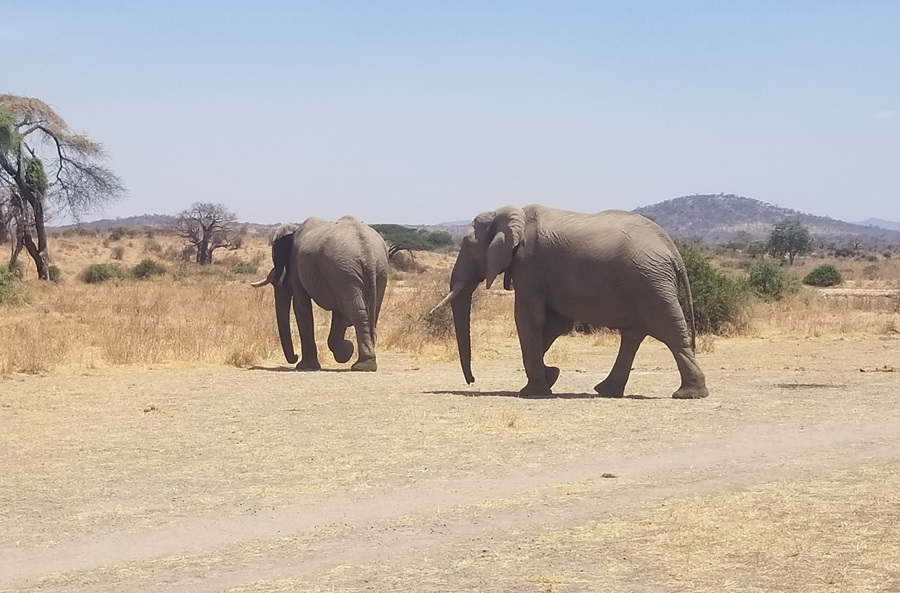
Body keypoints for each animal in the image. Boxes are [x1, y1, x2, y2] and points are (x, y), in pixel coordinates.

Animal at [251, 215, 388, 372]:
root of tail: (368, 253)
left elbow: (301, 306)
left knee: (358, 313)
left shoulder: (297, 264)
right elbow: (338, 314)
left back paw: (362, 366)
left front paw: (305, 366)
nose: (295, 356)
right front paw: (346, 351)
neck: (293, 230)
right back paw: (366, 362)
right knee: (370, 312)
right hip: (375, 271)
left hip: (347, 271)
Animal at [434, 202, 712, 398]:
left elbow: (528, 318)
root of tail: (673, 250)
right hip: (648, 281)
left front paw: (533, 391)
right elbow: (555, 323)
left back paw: (688, 394)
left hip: (650, 282)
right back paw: (607, 391)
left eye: (467, 244)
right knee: (634, 335)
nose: (472, 381)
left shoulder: (530, 264)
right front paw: (551, 376)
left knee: (669, 331)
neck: (510, 213)